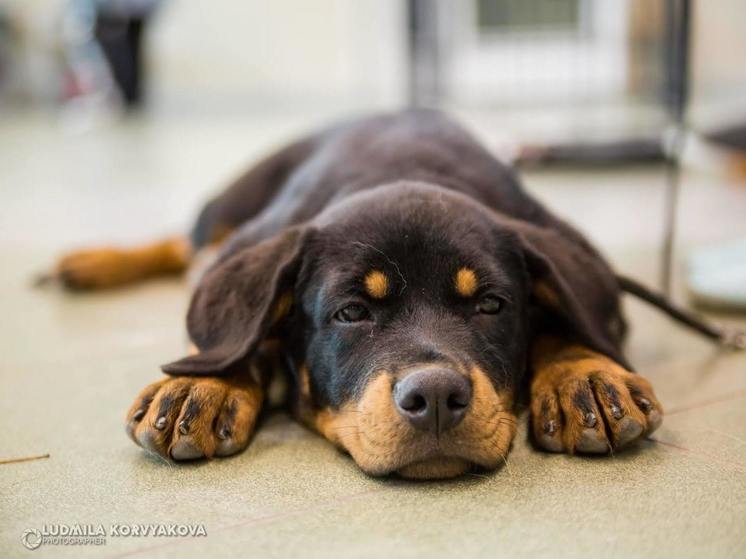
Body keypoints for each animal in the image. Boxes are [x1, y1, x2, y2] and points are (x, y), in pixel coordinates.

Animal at [42, 110, 732, 482]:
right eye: (351, 313)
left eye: (491, 306)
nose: (436, 398)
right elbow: (237, 333)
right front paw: (203, 384)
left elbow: (568, 320)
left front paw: (583, 376)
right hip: (233, 205)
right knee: (185, 243)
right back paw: (91, 262)